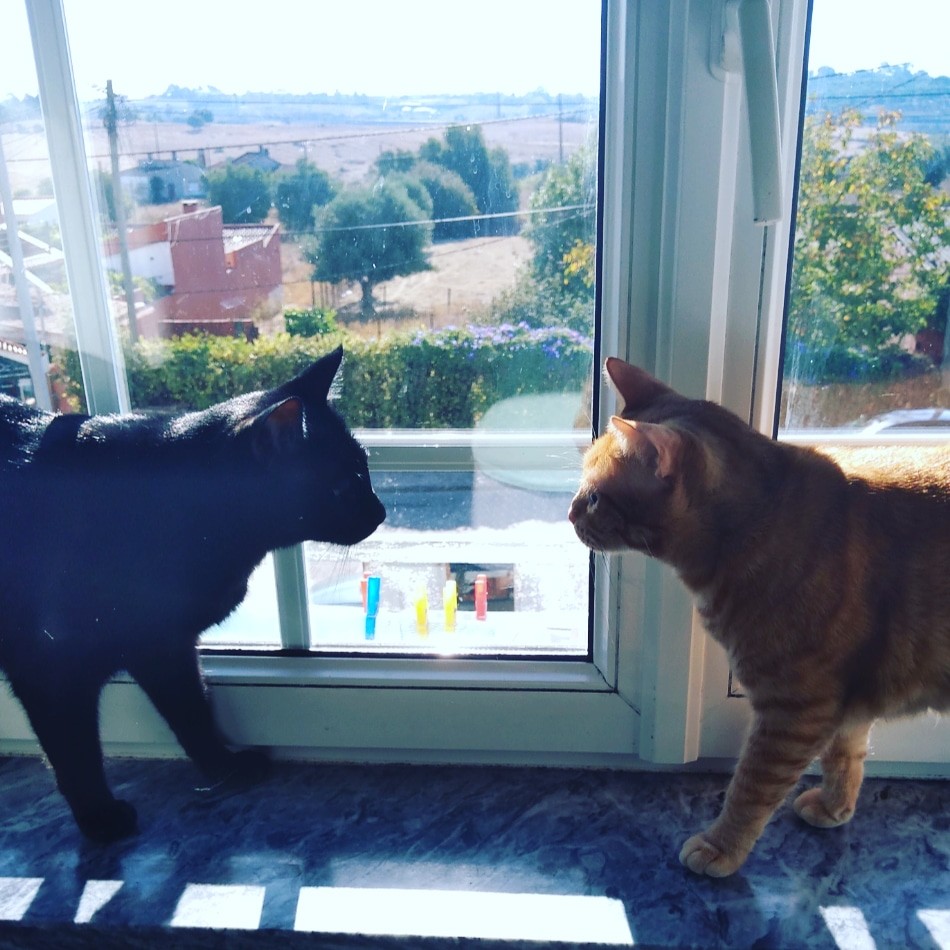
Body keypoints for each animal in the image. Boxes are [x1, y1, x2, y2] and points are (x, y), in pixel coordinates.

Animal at [0, 346, 385, 842]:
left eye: (366, 469)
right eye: (342, 486)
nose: (380, 511)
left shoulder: (164, 648)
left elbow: (191, 711)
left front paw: (223, 766)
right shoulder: (49, 667)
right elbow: (74, 751)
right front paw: (99, 816)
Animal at [570, 356, 950, 877]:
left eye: (594, 498)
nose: (569, 514)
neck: (759, 525)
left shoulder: (795, 708)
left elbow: (750, 787)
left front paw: (721, 846)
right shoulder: (846, 698)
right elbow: (846, 751)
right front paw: (835, 806)